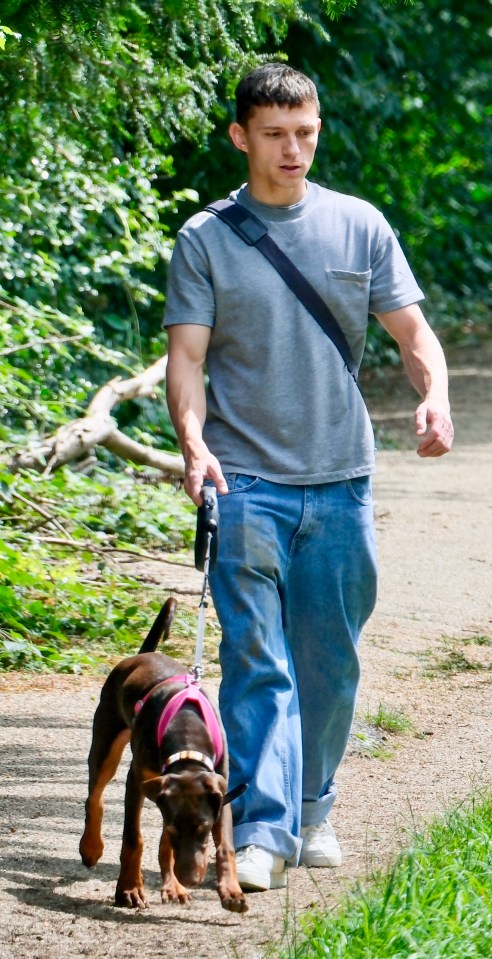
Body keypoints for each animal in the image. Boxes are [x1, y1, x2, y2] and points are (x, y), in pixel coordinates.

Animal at [79, 600, 248, 916]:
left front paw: (231, 892)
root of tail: (142, 655)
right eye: (174, 827)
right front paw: (129, 890)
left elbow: (223, 846)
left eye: (204, 828)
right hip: (106, 742)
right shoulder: (136, 780)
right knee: (94, 796)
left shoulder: (221, 790)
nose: (191, 879)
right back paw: (91, 848)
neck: (187, 742)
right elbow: (134, 838)